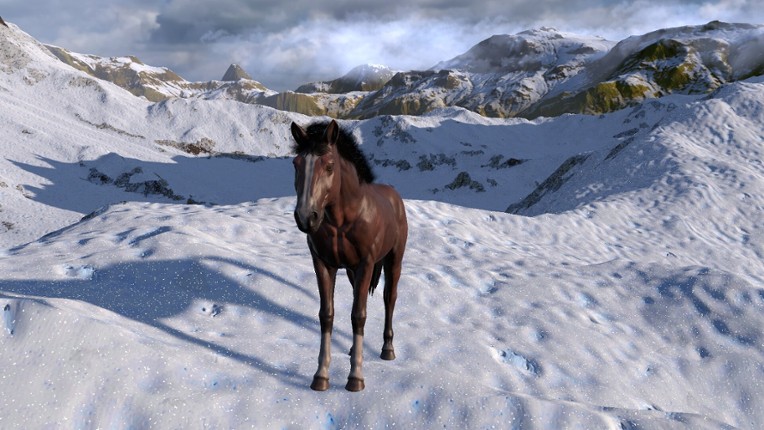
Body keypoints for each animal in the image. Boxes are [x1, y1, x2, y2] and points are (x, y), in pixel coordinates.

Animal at [290, 119, 408, 392]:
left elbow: (358, 315)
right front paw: (321, 376)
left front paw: (356, 378)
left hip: (393, 260)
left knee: (389, 298)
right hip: (353, 271)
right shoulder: (323, 264)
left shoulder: (366, 264)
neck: (342, 220)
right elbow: (327, 314)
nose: (306, 217)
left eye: (329, 166)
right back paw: (355, 349)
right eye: (296, 164)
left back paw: (388, 349)